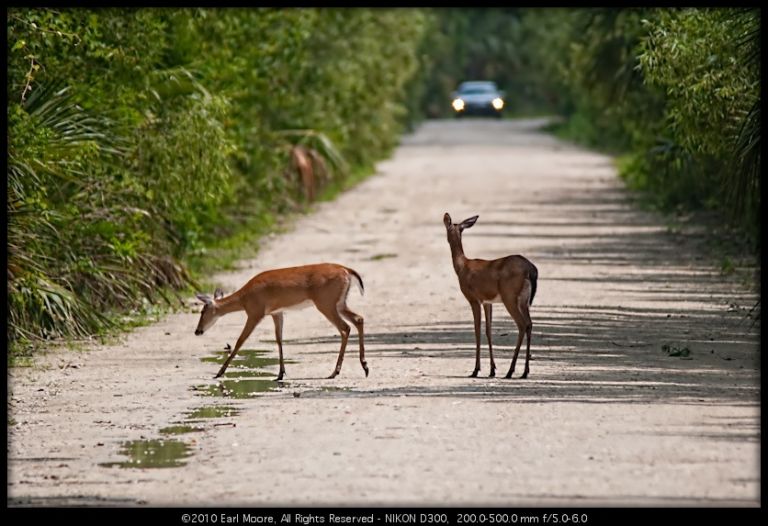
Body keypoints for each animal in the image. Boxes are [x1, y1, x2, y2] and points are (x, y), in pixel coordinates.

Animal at [196, 266, 368, 382]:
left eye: (202, 311)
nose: (197, 331)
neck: (244, 298)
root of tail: (346, 270)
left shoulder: (255, 312)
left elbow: (240, 340)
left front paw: (219, 373)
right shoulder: (276, 313)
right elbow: (279, 339)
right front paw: (280, 374)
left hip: (326, 302)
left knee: (345, 328)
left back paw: (335, 372)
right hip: (339, 303)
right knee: (359, 319)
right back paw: (364, 366)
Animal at [444, 212, 540, 382]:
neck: (462, 267)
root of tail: (531, 270)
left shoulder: (473, 299)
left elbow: (477, 329)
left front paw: (476, 370)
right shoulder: (487, 302)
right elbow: (488, 330)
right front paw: (492, 370)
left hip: (510, 297)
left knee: (522, 324)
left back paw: (510, 371)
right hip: (524, 300)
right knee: (529, 324)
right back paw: (524, 372)